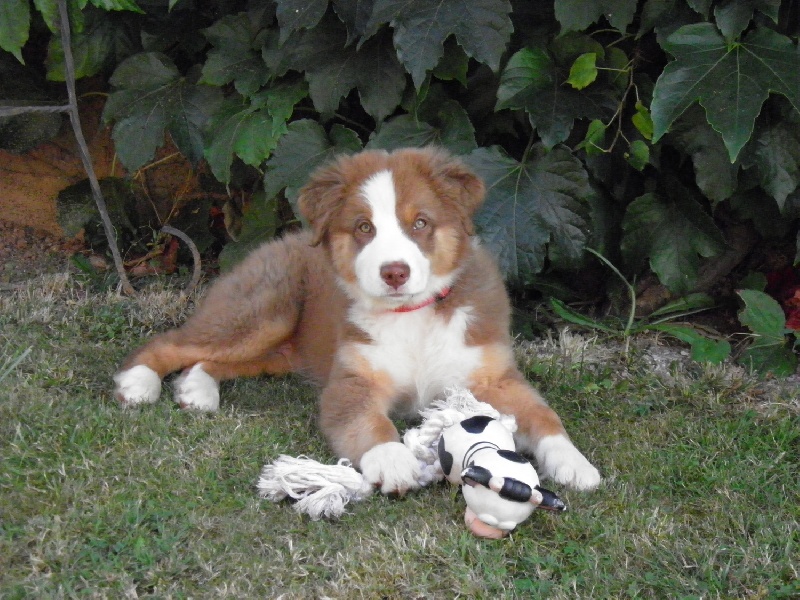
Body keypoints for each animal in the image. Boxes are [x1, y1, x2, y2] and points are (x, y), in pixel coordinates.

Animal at [114, 147, 601, 495]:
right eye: (364, 227)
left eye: (420, 223)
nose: (394, 272)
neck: (413, 315)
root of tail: (275, 242)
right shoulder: (351, 381)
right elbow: (367, 423)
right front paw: (393, 460)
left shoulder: (494, 376)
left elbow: (542, 413)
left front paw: (574, 464)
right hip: (264, 311)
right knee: (175, 341)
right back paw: (139, 381)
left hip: (285, 350)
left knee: (217, 359)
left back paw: (197, 389)